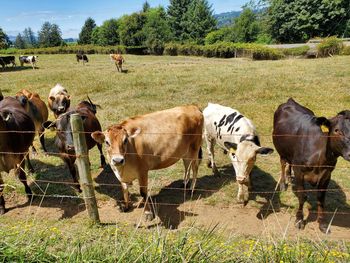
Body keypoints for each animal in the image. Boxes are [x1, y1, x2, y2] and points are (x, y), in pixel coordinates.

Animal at [272, 99, 350, 233]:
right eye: (337, 130)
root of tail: (290, 101)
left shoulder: (326, 174)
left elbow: (321, 198)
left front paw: (322, 224)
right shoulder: (299, 172)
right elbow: (302, 196)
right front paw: (299, 220)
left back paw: (289, 177)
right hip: (281, 150)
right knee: (283, 163)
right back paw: (283, 184)